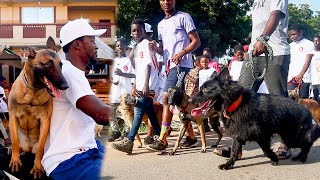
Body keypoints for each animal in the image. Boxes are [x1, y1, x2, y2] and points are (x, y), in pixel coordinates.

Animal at [8, 48, 68, 178]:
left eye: (60, 65)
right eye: (48, 64)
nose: (65, 86)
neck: (33, 92)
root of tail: (29, 148)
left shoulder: (45, 121)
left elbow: (40, 149)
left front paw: (37, 167)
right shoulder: (13, 116)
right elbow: (14, 142)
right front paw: (15, 160)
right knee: (18, 145)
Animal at [191, 68, 320, 170]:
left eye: (205, 89)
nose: (190, 100)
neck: (236, 104)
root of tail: (307, 111)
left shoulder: (262, 136)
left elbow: (266, 151)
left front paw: (274, 158)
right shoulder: (238, 135)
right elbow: (234, 151)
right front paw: (228, 164)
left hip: (291, 138)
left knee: (308, 143)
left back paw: (301, 157)